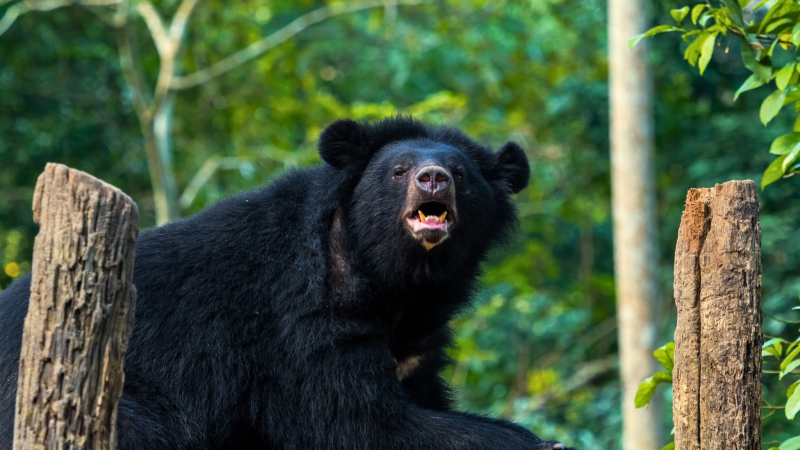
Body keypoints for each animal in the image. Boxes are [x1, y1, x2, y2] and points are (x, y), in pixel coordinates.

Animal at [0, 116, 575, 450]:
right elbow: (353, 421)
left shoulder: (418, 340)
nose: (432, 178)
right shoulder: (300, 317)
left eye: (460, 173)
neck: (396, 280)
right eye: (398, 170)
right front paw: (532, 441)